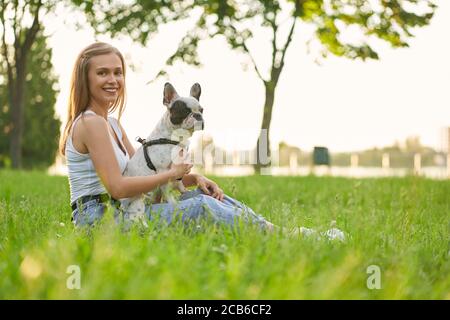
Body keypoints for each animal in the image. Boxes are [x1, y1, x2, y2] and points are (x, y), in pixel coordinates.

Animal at [120, 82, 203, 222]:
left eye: (202, 110)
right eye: (185, 111)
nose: (198, 116)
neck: (175, 138)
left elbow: (179, 182)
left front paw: (184, 191)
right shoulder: (164, 171)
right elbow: (167, 190)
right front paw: (173, 203)